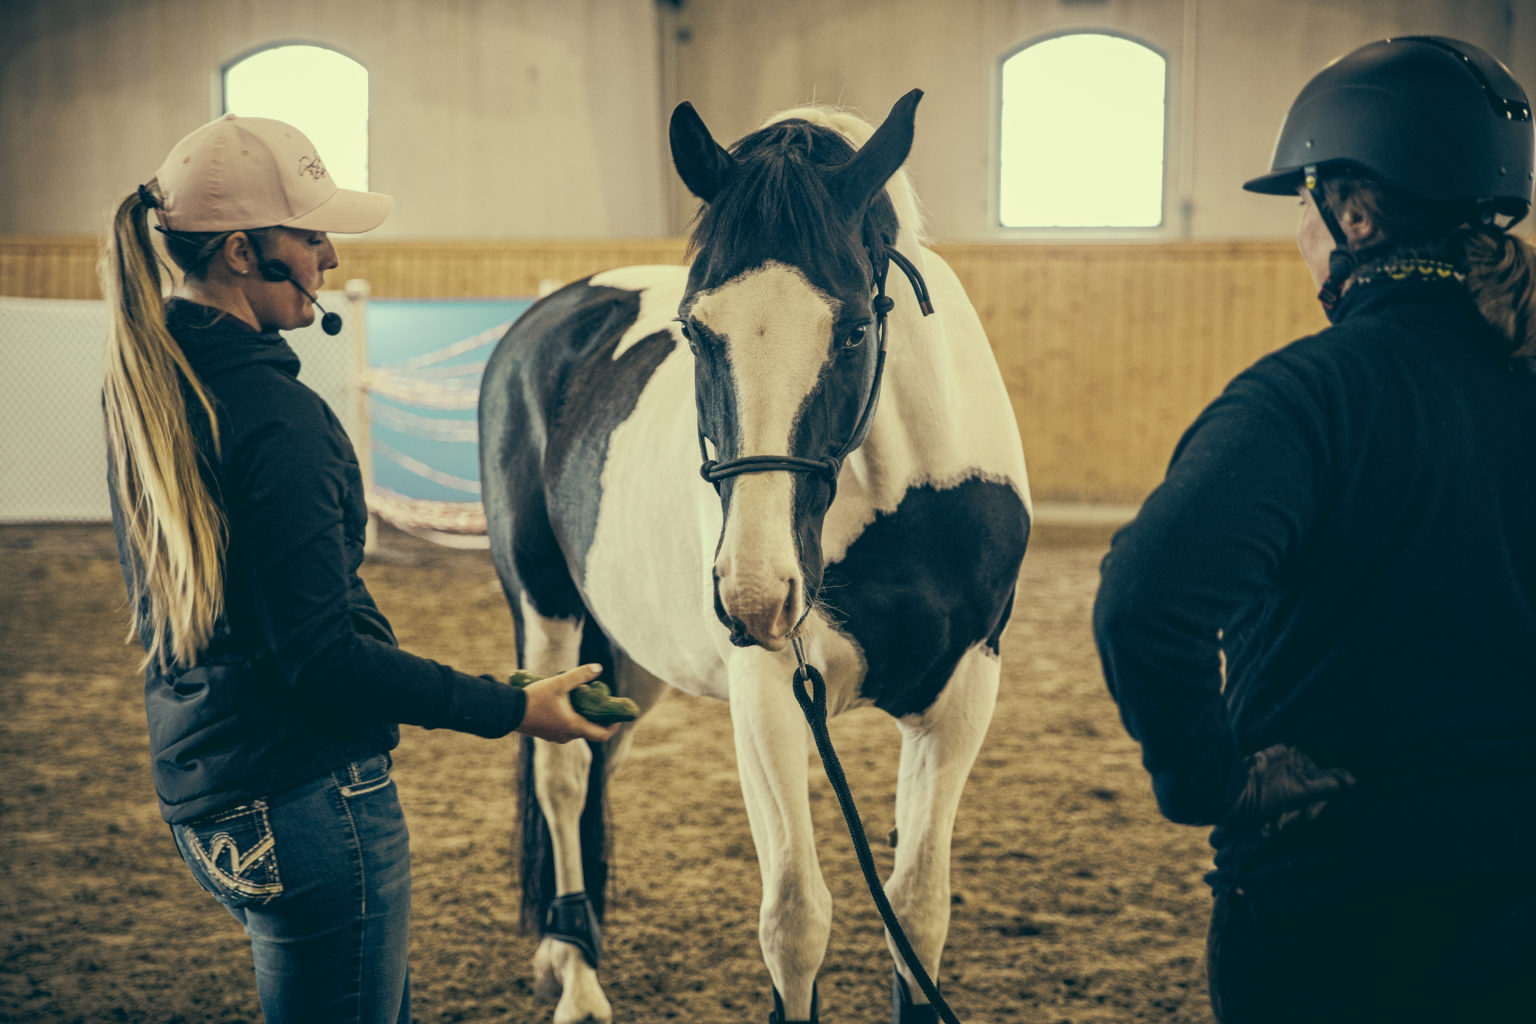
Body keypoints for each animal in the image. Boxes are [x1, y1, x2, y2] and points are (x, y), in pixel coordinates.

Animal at [479, 90, 1032, 1024]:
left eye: (854, 329)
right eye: (696, 331)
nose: (755, 596)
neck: (901, 502)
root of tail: (555, 314)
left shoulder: (963, 693)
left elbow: (917, 912)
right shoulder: (770, 687)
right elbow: (796, 921)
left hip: (630, 659)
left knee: (597, 752)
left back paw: (566, 947)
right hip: (548, 609)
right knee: (562, 772)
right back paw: (579, 977)